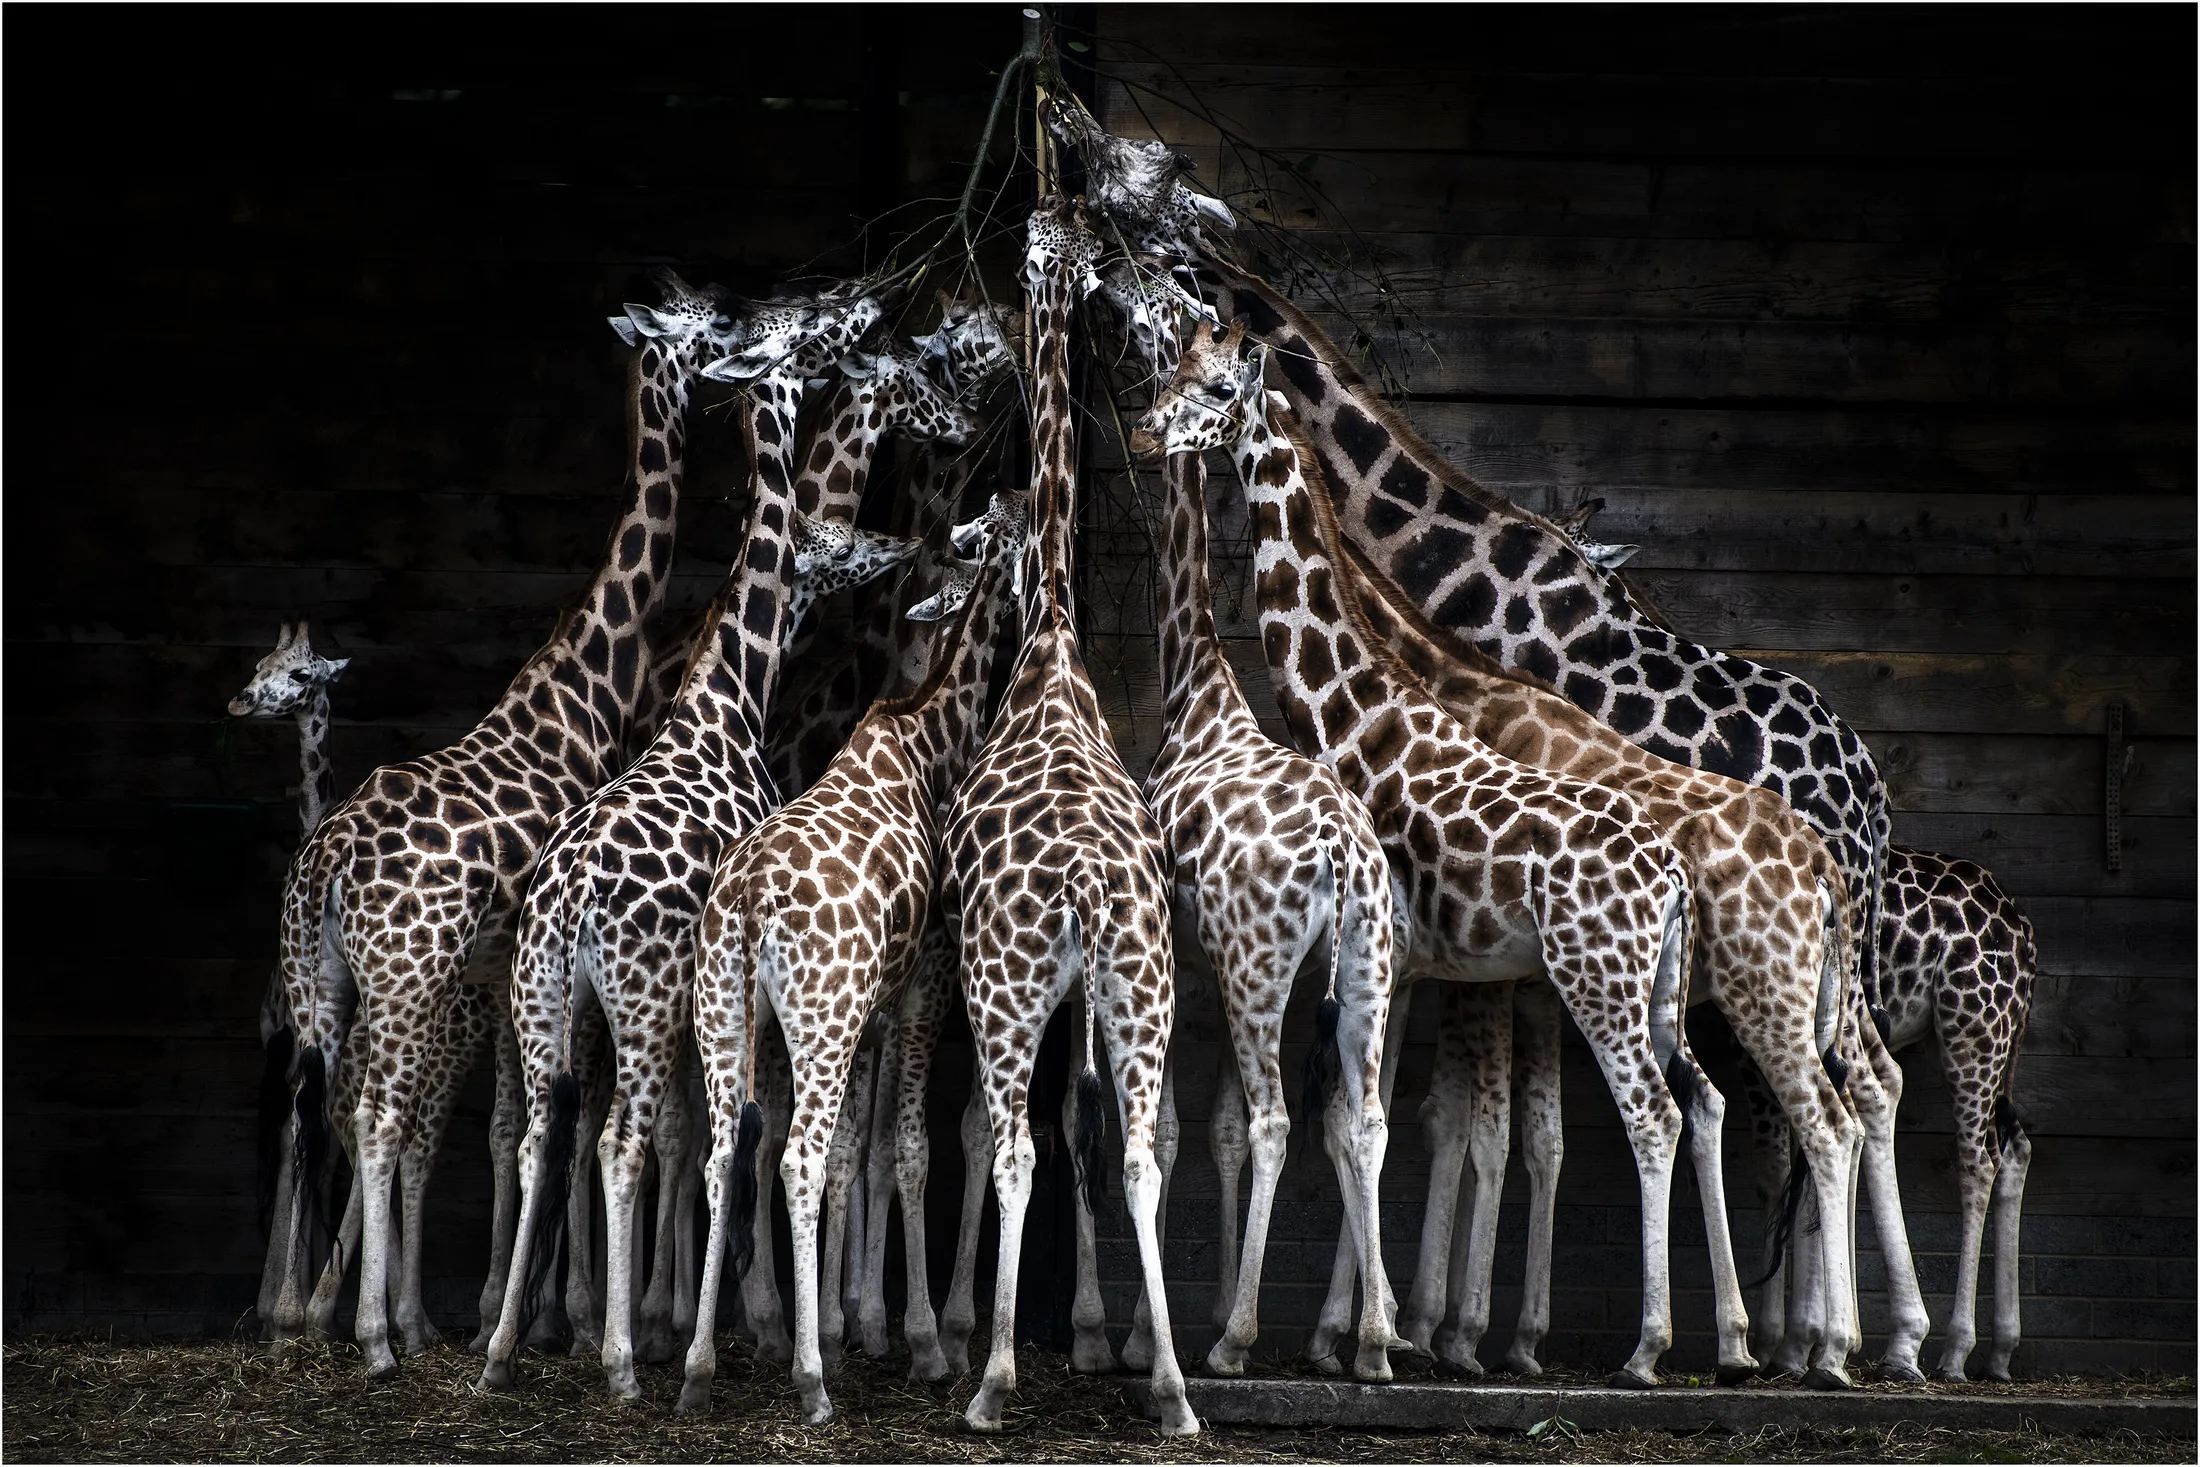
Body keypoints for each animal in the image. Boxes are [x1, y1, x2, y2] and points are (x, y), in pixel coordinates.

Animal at [267, 270, 749, 1377]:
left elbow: (519, 1123)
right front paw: (553, 1320)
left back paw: (302, 1317)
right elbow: (547, 1120)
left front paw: (526, 1314)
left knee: (319, 1107)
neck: (587, 676)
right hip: (405, 973)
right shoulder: (531, 964)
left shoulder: (505, 968)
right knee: (377, 1110)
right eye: (706, 324)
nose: (745, 333)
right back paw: (374, 1336)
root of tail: (329, 859)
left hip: (321, 976)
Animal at [473, 290, 922, 1401]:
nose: (867, 309)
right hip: (638, 998)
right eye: (809, 330)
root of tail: (574, 898)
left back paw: (502, 1348)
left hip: (543, 993)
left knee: (544, 1132)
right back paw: (626, 1361)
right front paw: (738, 1327)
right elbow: (727, 1134)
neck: (727, 694)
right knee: (622, 1139)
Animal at [681, 492, 1027, 1422]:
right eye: (1002, 532)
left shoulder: (870, 1006)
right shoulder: (921, 982)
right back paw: (810, 1382)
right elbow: (907, 1145)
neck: (921, 731)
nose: (1017, 497)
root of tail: (752, 907)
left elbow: (856, 1150)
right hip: (818, 1014)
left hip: (726, 1011)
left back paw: (697, 1367)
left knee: (724, 1151)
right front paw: (919, 1343)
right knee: (793, 1154)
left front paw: (852, 1324)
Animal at [1136, 321, 1834, 1390]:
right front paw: (1390, 1329)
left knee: (1727, 1117)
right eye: (1171, 371)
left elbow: (1397, 1123)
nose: (1142, 429)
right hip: (1676, 993)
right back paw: (1745, 1341)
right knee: (1722, 1107)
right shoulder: (1424, 966)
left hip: (1690, 989)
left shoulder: (1407, 961)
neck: (1364, 710)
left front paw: (1374, 1332)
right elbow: (1420, 1123)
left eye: (1216, 388)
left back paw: (1710, 1347)